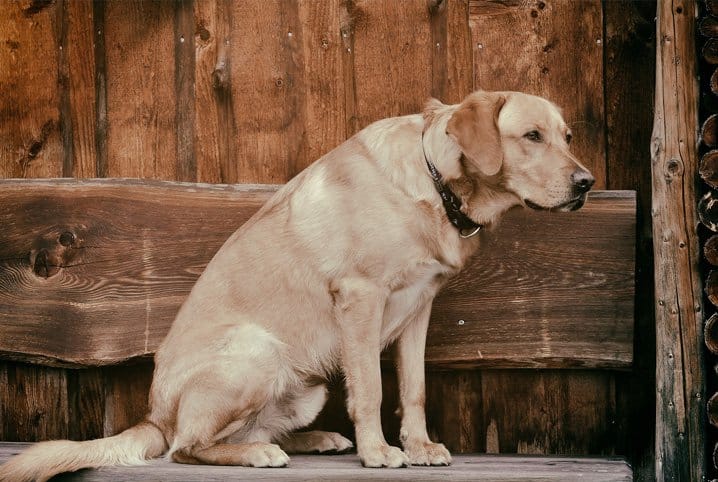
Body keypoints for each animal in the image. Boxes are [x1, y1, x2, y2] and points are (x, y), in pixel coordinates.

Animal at [0, 89, 596, 478]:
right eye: (532, 136)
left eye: (567, 136)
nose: (587, 183)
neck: (435, 182)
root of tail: (154, 415)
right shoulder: (361, 297)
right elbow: (372, 389)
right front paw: (379, 452)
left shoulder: (419, 308)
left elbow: (414, 388)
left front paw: (419, 445)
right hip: (256, 350)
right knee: (187, 447)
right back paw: (256, 455)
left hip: (306, 386)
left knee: (249, 429)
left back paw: (313, 439)